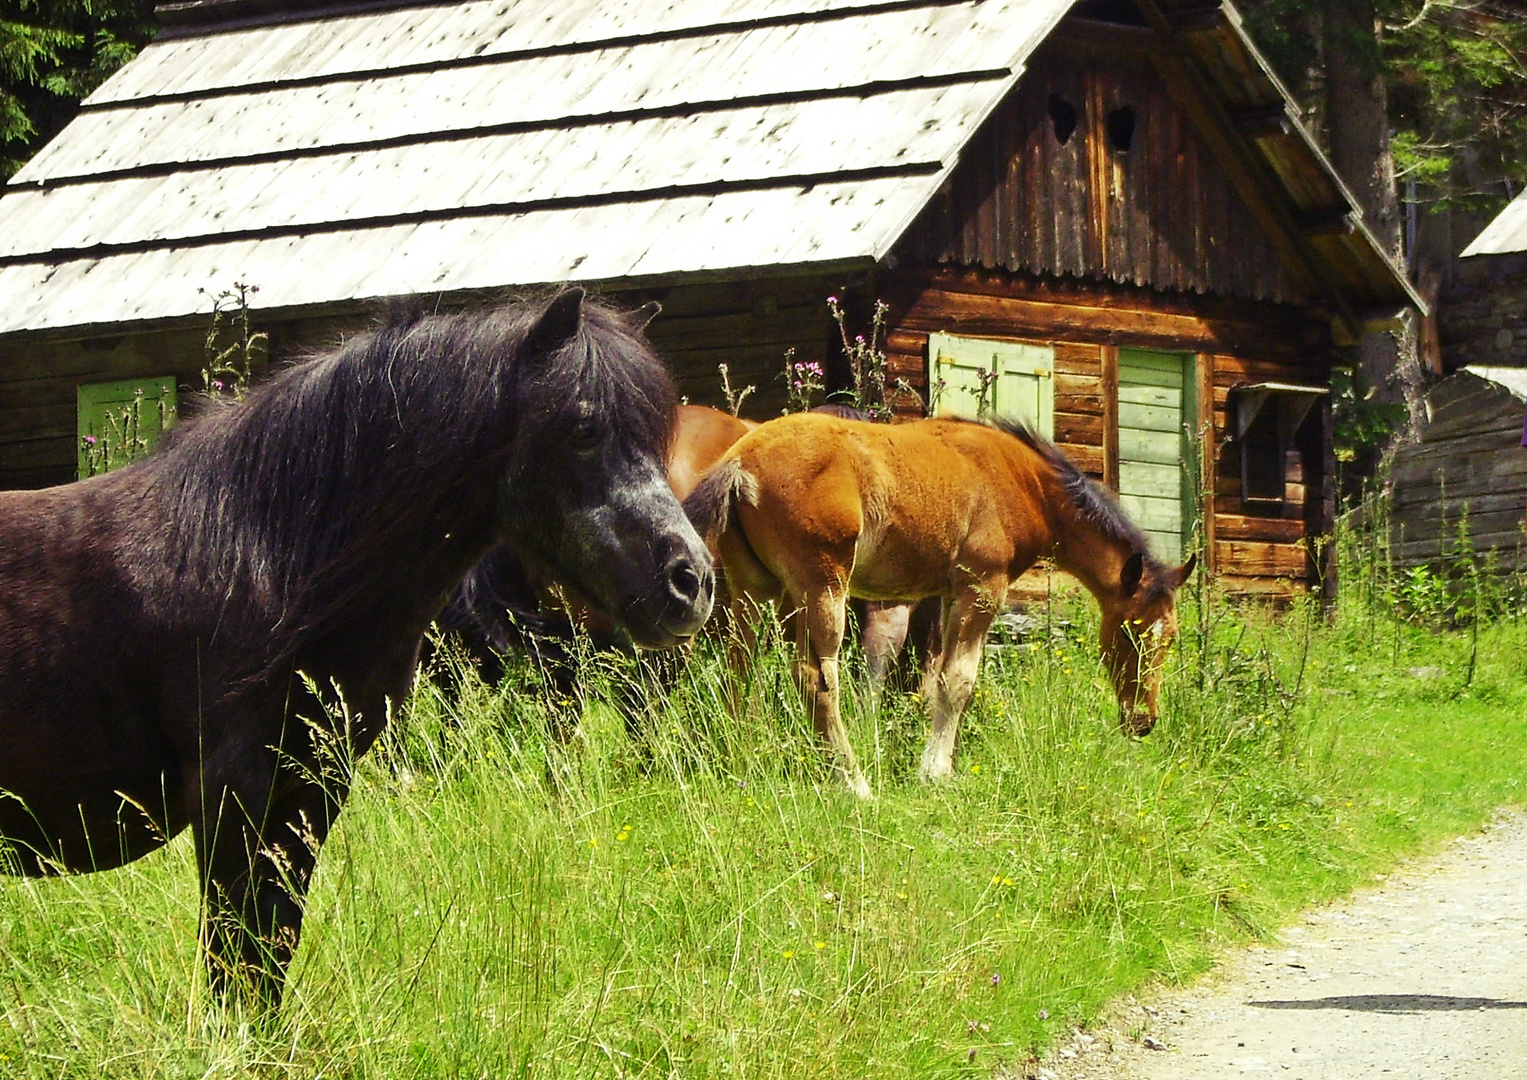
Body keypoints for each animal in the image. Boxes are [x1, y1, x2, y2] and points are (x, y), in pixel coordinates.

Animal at [0, 285, 711, 1008]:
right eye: (584, 429)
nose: (691, 583)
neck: (261, 558)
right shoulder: (232, 795)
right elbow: (235, 960)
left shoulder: (309, 792)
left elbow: (268, 955)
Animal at [687, 409, 1197, 800]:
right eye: (1130, 633)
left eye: (1170, 638)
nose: (1144, 721)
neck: (1023, 481)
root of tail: (741, 462)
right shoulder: (982, 588)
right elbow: (959, 681)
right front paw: (935, 771)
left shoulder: (949, 594)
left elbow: (935, 681)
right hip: (822, 585)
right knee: (816, 680)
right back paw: (854, 783)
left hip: (758, 588)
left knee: (738, 669)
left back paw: (738, 761)